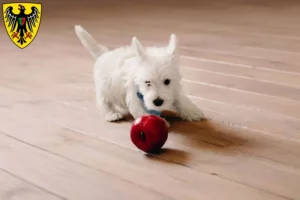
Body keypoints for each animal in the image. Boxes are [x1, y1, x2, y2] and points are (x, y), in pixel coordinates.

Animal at [74, 25, 204, 125]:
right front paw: (159, 122)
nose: (158, 102)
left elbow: (180, 99)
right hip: (104, 88)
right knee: (103, 102)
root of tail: (103, 54)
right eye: (147, 82)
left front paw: (193, 112)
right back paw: (111, 114)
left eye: (167, 81)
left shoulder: (174, 88)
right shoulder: (134, 99)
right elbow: (143, 112)